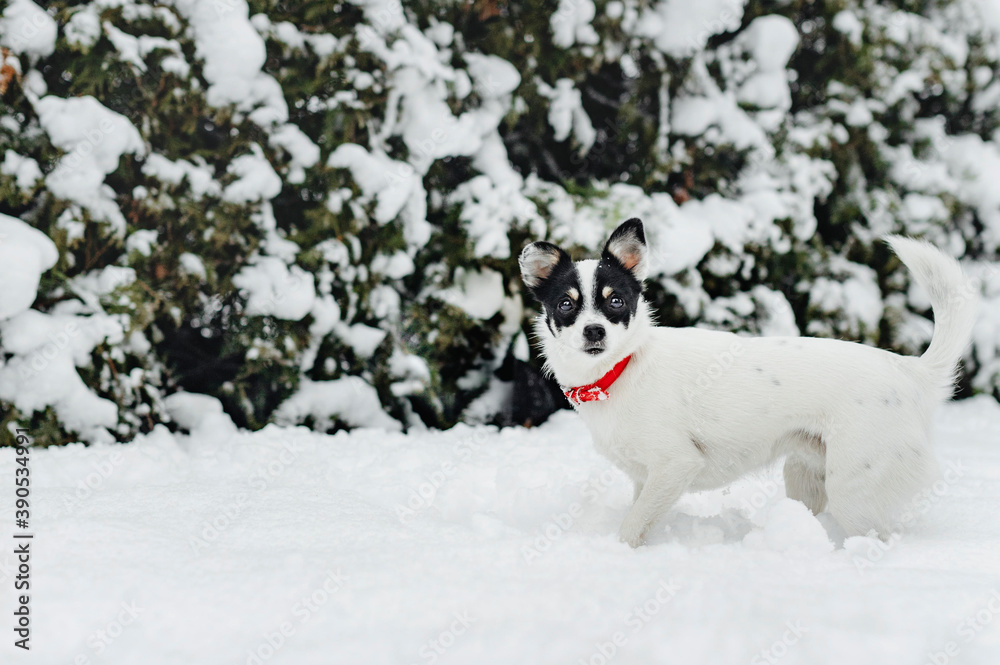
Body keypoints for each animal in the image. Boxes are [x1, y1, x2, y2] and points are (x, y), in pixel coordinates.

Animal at [520, 220, 980, 548]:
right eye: (566, 305)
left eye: (616, 301)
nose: (594, 331)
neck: (622, 369)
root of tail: (909, 369)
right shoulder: (646, 477)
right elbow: (641, 514)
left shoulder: (675, 466)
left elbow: (633, 525)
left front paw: (619, 553)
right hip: (805, 476)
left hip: (854, 487)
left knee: (877, 539)